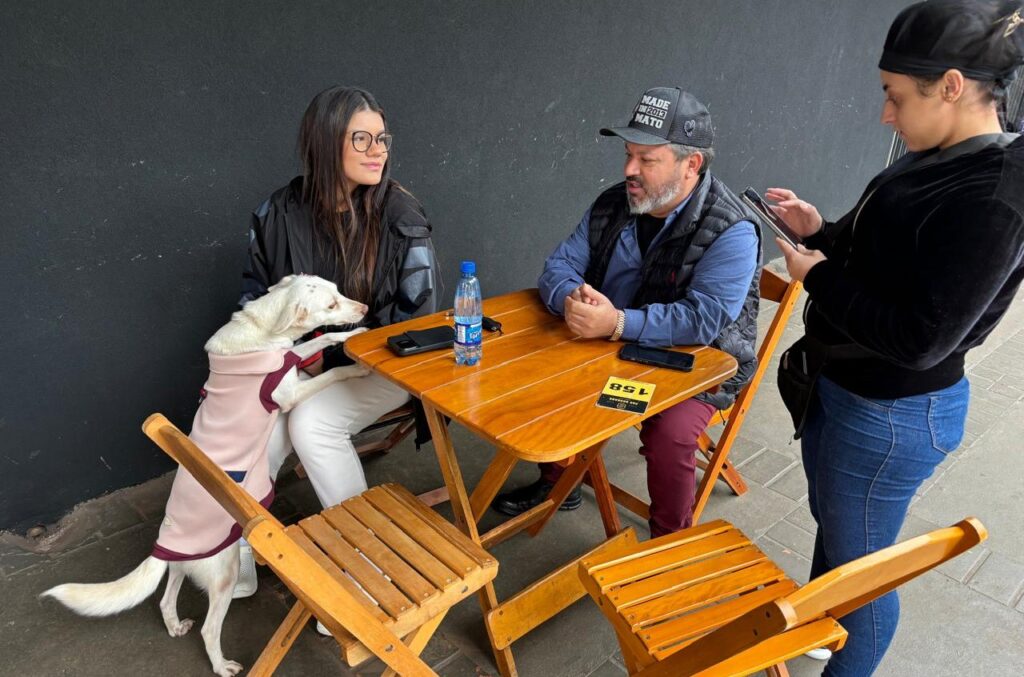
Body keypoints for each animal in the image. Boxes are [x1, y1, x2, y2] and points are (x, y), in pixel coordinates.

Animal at [46, 274, 372, 675]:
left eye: (338, 290)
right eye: (330, 305)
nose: (365, 308)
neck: (260, 329)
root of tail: (166, 539)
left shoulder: (290, 357)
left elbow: (310, 345)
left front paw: (349, 336)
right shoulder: (291, 394)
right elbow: (330, 368)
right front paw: (355, 367)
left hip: (184, 568)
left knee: (166, 599)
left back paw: (174, 625)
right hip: (223, 573)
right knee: (208, 629)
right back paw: (222, 665)